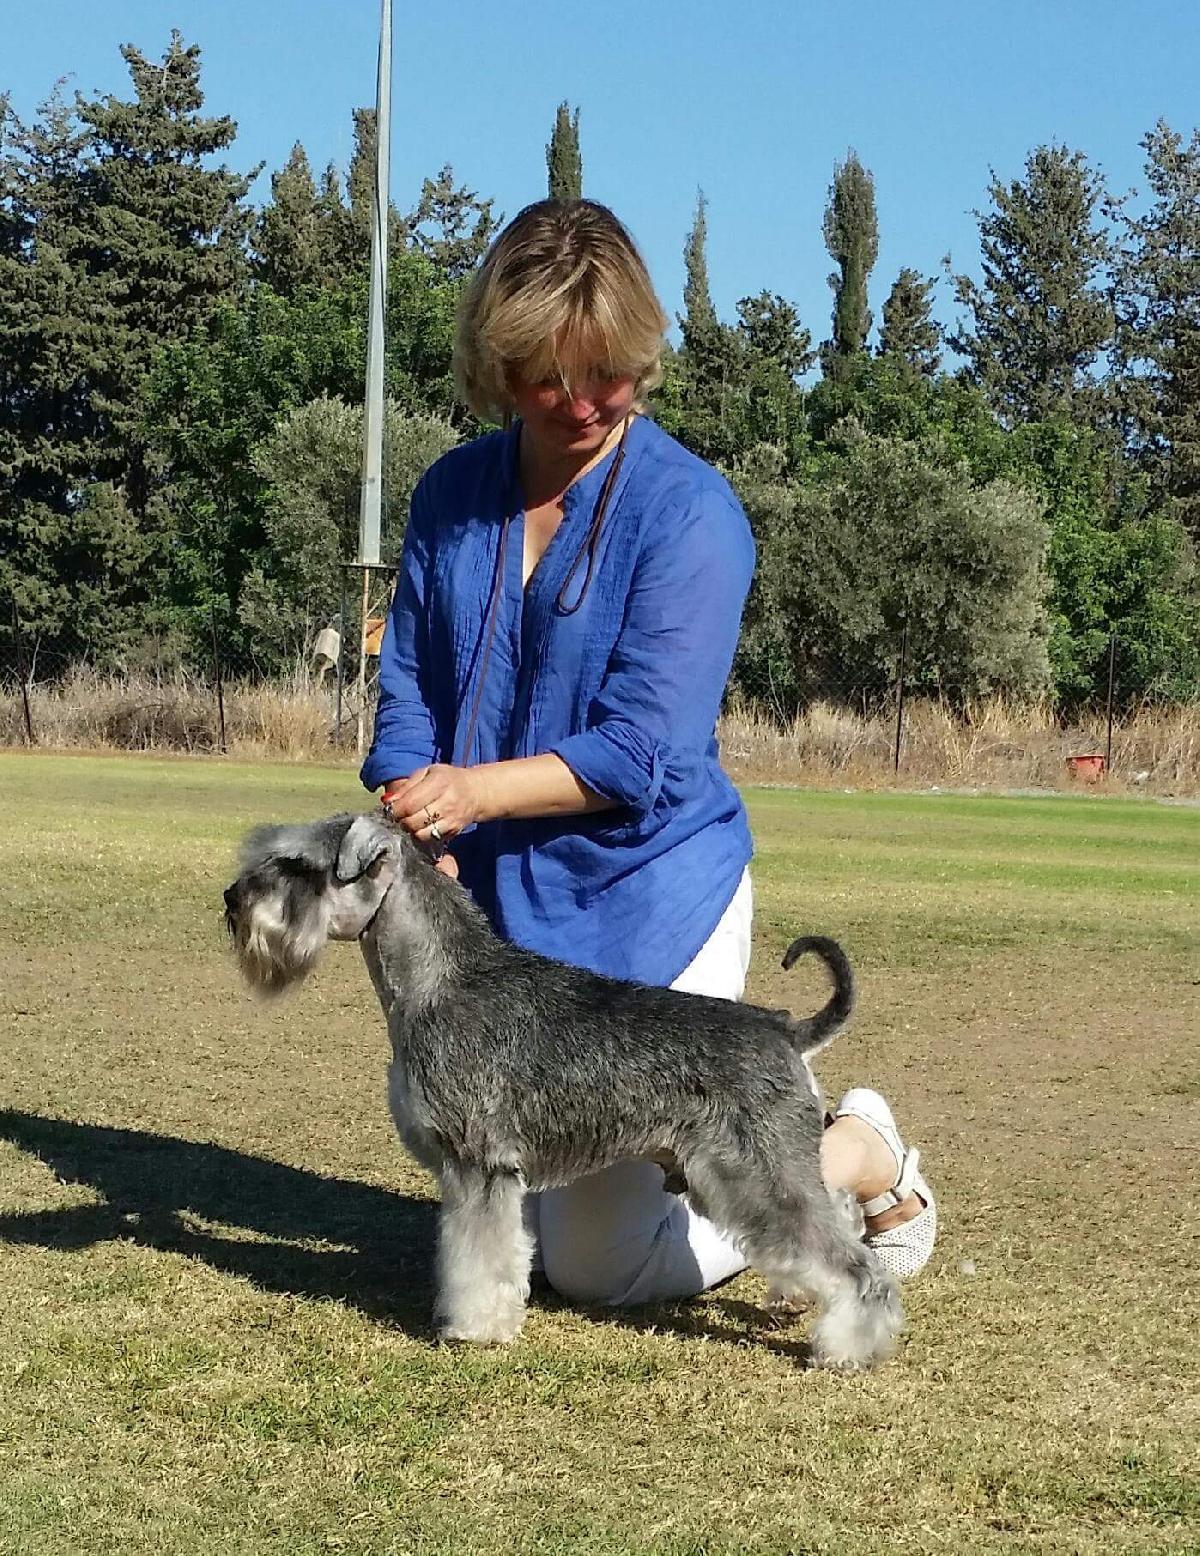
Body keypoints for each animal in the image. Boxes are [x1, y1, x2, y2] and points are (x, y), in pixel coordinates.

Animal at [223, 812, 903, 1369]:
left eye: (297, 865)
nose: (232, 899)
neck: (439, 981)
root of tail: (785, 1027)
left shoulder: (479, 1165)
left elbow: (478, 1258)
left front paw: (474, 1328)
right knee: (835, 1214)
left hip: (752, 1172)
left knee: (852, 1261)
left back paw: (850, 1344)